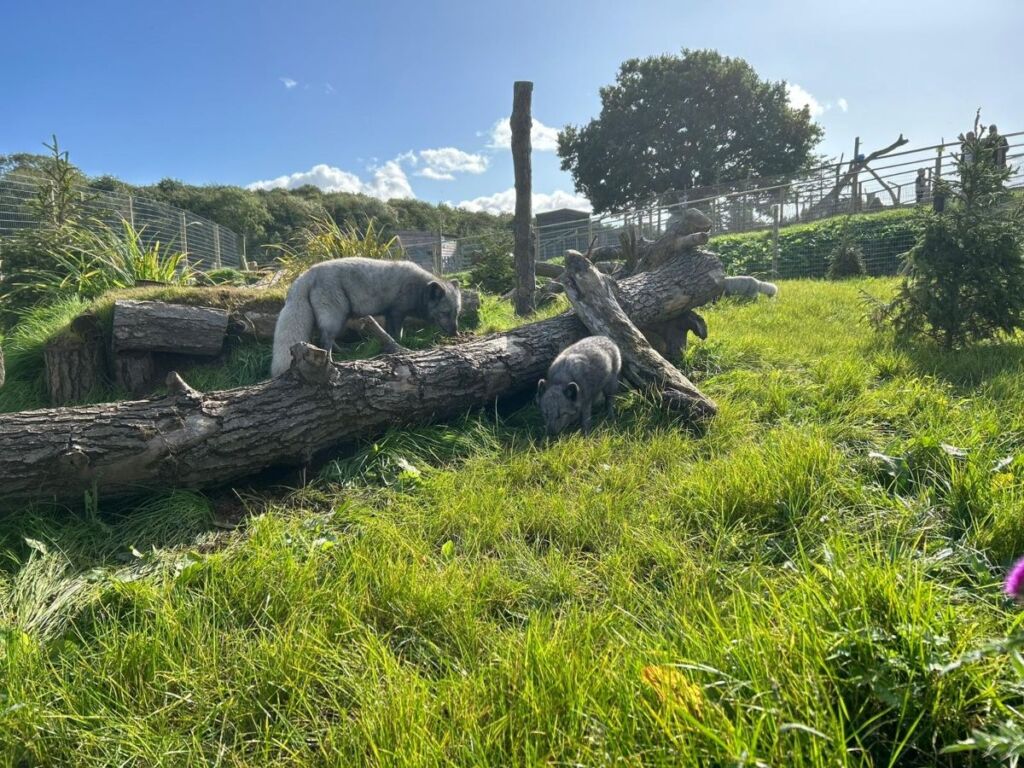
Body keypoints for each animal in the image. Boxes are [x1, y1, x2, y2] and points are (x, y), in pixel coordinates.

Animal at [271, 257, 462, 376]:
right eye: (444, 313)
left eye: (456, 313)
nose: (455, 333)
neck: (420, 289)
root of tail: (307, 273)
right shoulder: (396, 312)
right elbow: (396, 333)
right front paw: (400, 347)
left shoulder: (390, 314)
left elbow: (391, 333)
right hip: (334, 316)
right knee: (325, 339)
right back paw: (332, 362)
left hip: (340, 317)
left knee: (323, 338)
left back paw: (342, 352)